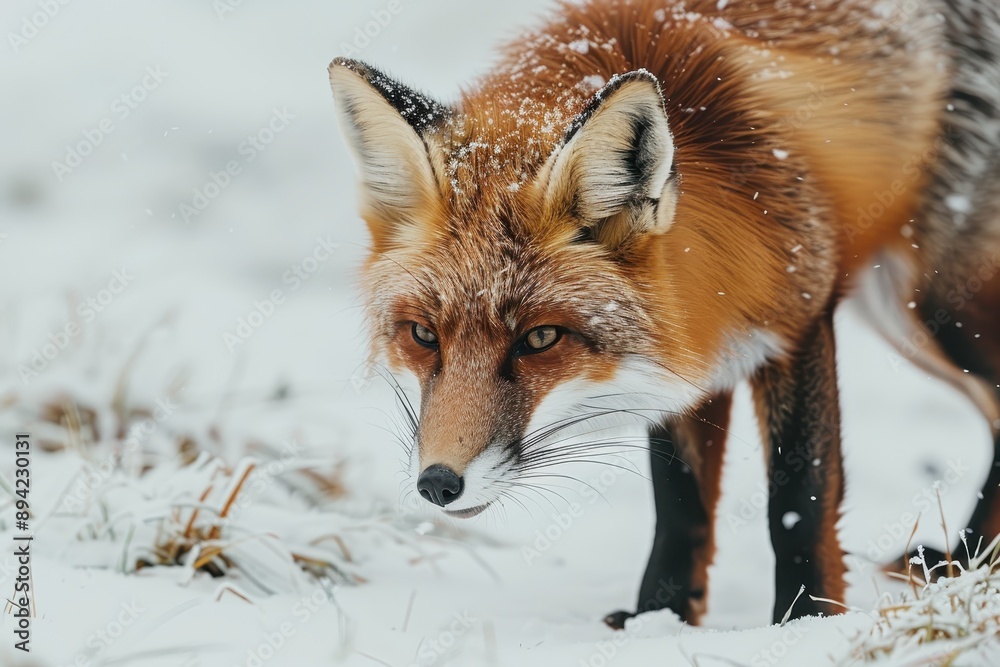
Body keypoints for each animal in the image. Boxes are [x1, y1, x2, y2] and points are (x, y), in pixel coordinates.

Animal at [328, 0, 1000, 625]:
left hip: (932, 313)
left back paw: (965, 563)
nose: (439, 484)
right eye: (422, 334)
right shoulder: (685, 353)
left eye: (540, 339)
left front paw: (804, 621)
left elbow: (797, 502)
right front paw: (662, 618)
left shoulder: (800, 321)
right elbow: (680, 506)